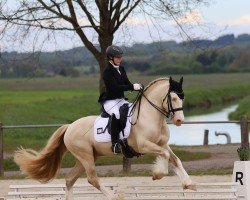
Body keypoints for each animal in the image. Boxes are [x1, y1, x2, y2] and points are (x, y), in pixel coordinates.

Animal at [14, 76, 196, 200]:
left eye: (183, 97)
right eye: (173, 98)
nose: (179, 121)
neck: (150, 116)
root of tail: (69, 127)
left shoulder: (162, 144)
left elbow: (175, 159)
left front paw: (188, 183)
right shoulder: (144, 145)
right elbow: (165, 157)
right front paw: (158, 174)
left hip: (85, 158)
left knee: (70, 179)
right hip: (86, 157)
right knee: (92, 179)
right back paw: (115, 196)